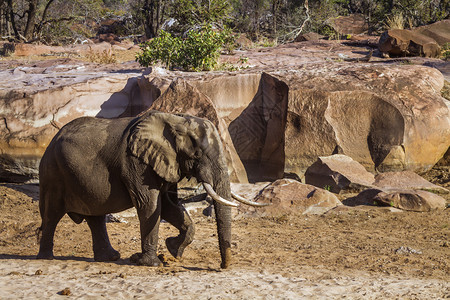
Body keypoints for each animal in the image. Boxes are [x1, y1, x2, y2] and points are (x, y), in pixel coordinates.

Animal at [37, 109, 268, 268]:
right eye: (196, 155)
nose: (222, 266)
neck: (175, 120)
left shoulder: (166, 163)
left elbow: (168, 205)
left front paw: (174, 250)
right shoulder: (136, 163)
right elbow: (149, 205)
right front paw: (148, 262)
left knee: (96, 218)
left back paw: (110, 257)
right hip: (52, 174)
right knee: (52, 215)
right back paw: (46, 257)